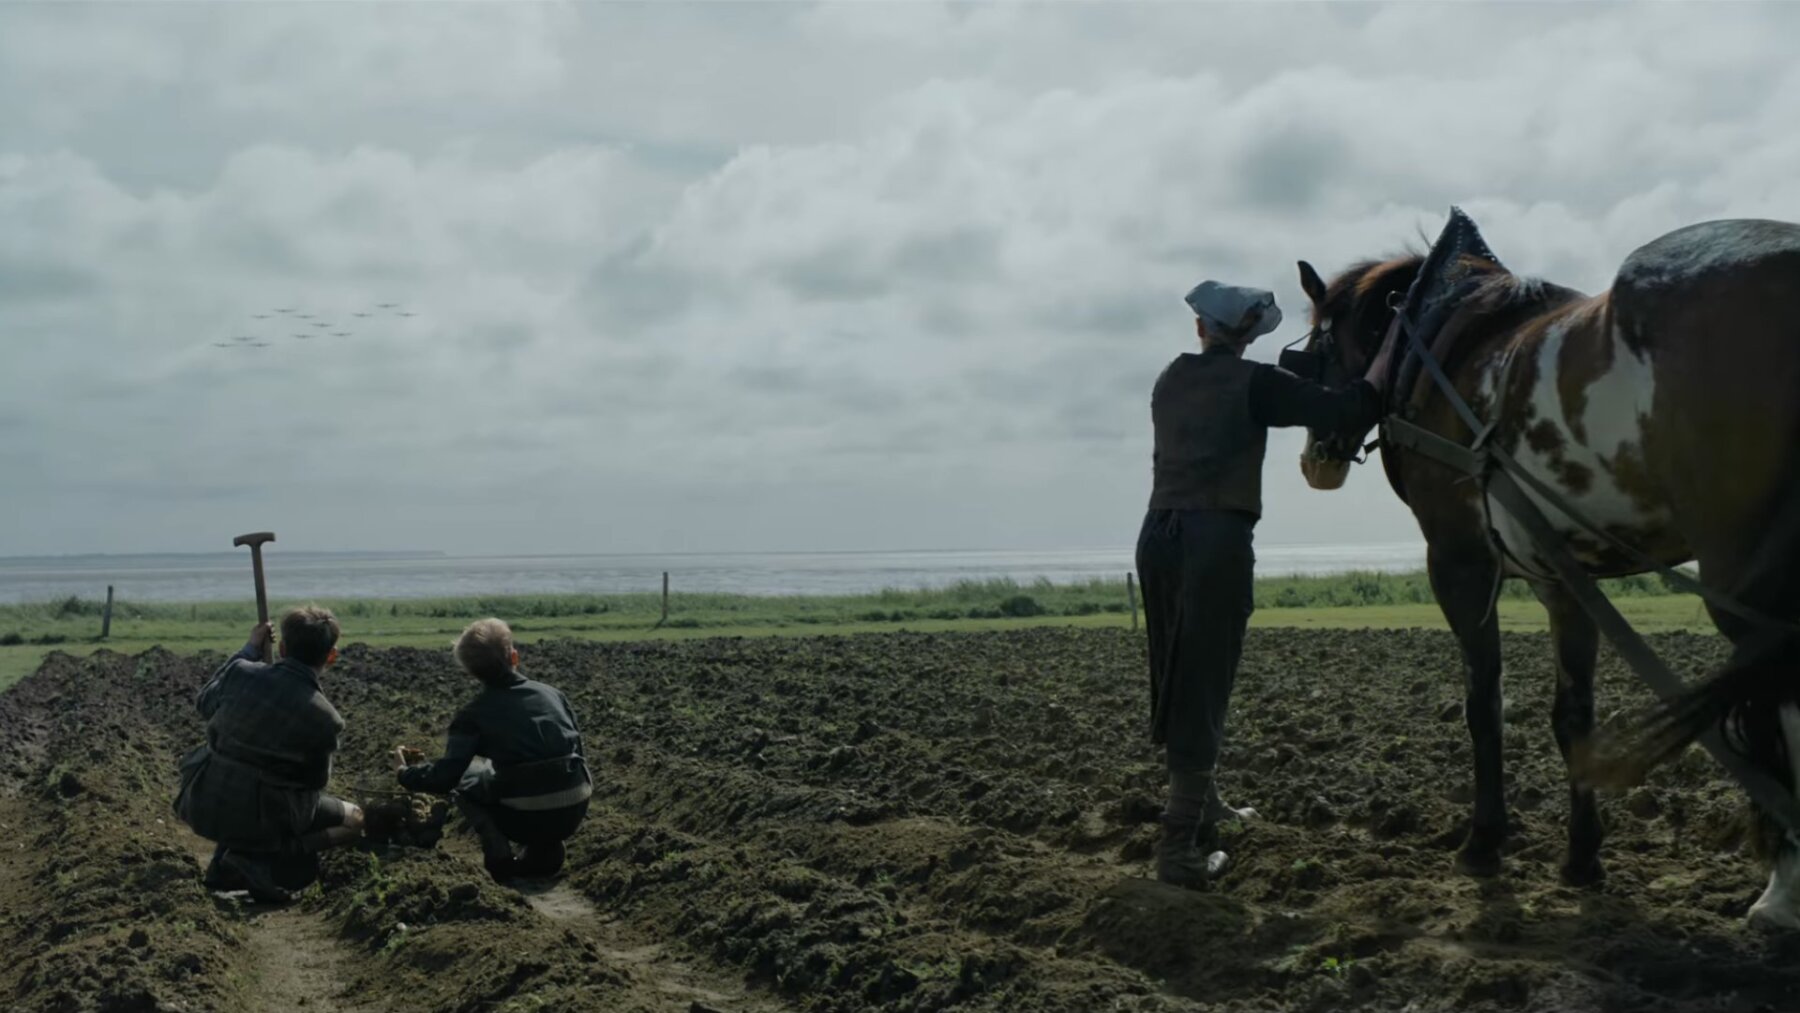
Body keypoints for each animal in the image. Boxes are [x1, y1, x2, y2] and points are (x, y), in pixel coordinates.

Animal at [1289, 213, 1800, 930]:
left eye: (1316, 344)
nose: (1315, 462)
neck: (1439, 344)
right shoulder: (1563, 578)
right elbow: (1572, 717)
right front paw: (1582, 856)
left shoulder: (1459, 561)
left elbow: (1483, 706)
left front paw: (1483, 843)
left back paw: (1782, 890)